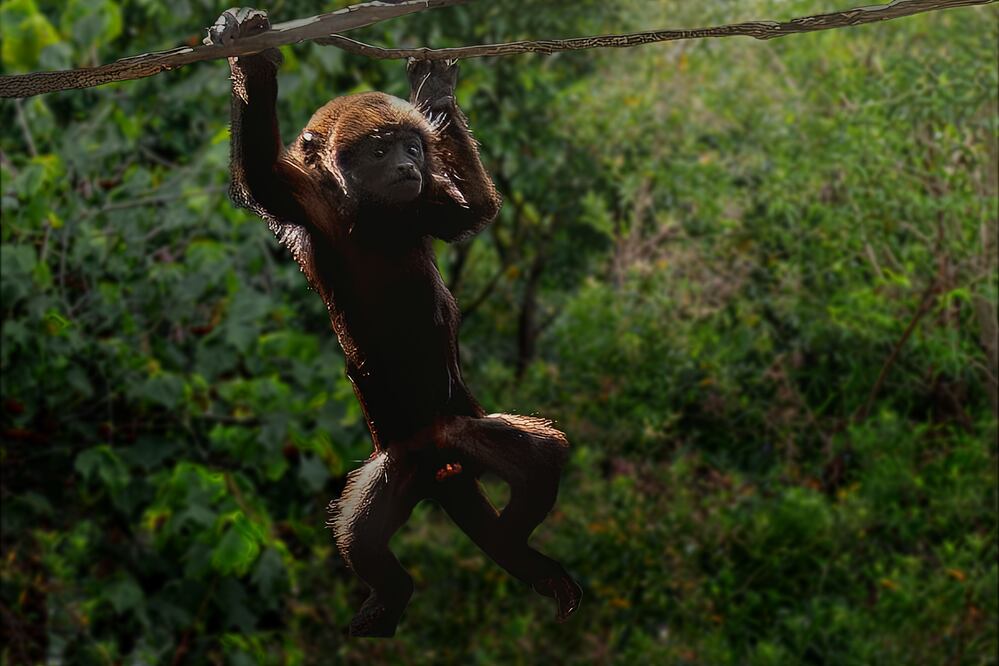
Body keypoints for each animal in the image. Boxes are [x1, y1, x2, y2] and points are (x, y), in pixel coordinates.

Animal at [207, 8, 581, 637]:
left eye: (411, 146)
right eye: (381, 151)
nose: (409, 163)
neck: (378, 217)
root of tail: (440, 464)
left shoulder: (423, 203)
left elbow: (474, 214)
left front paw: (437, 93)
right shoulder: (310, 205)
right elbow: (259, 171)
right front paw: (251, 59)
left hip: (459, 426)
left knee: (539, 456)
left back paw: (513, 544)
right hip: (399, 460)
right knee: (360, 535)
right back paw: (393, 593)